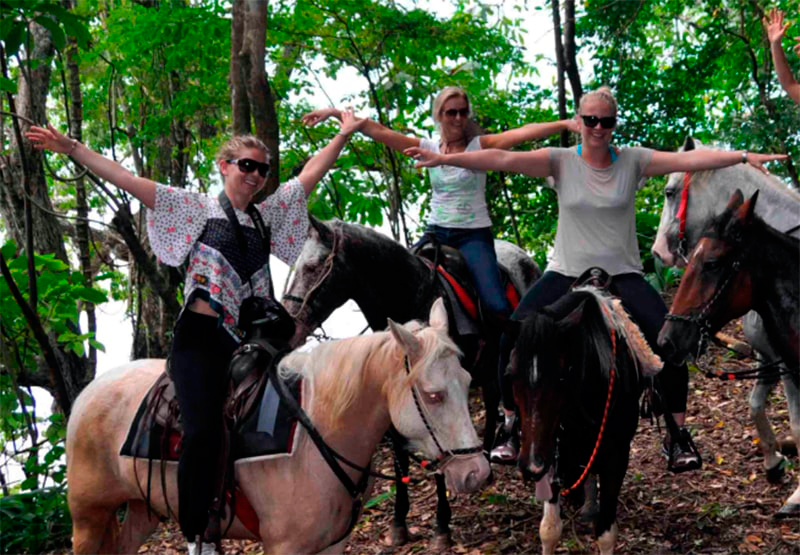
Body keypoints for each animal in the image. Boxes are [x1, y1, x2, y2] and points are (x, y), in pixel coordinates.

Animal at [65, 300, 488, 555]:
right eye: (433, 395)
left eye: (468, 381)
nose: (477, 473)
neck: (315, 437)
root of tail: (86, 394)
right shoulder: (285, 546)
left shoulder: (333, 543)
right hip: (88, 517)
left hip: (142, 509)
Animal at [510, 286, 660, 555]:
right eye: (511, 375)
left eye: (561, 378)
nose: (532, 466)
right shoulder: (554, 453)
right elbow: (549, 529)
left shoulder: (616, 458)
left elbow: (606, 534)